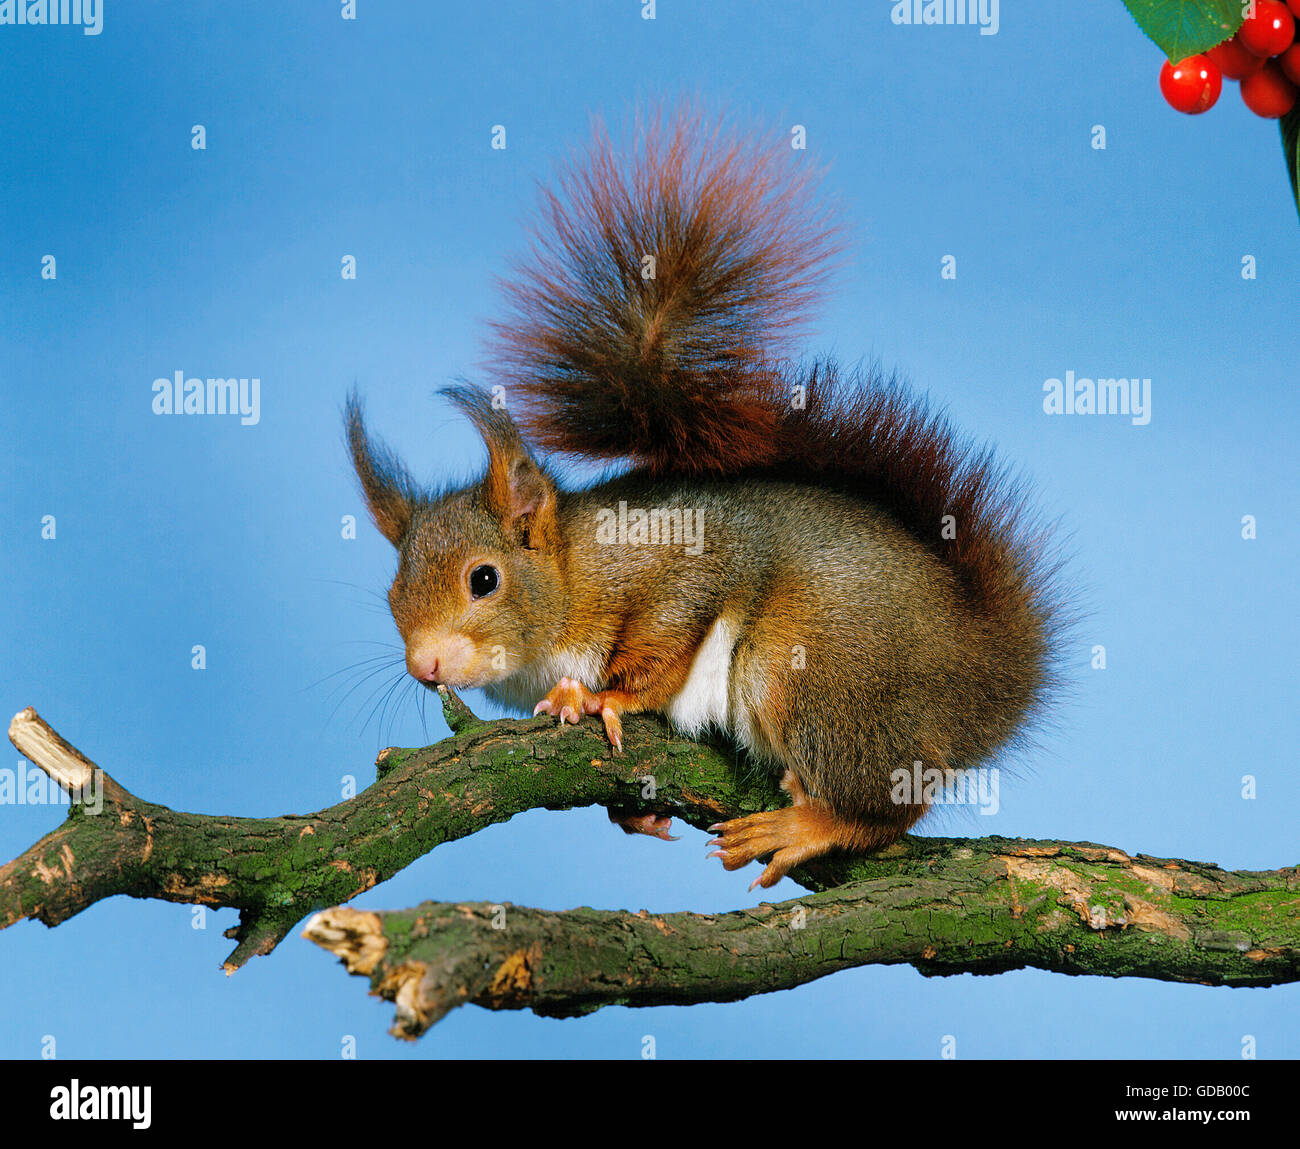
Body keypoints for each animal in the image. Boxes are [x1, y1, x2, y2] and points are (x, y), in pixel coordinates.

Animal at [343, 105, 1055, 889]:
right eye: (391, 593)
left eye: (484, 580)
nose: (424, 667)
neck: (574, 572)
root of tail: (990, 676)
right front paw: (633, 812)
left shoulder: (679, 566)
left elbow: (663, 646)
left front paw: (599, 695)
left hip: (810, 670)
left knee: (886, 808)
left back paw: (808, 823)